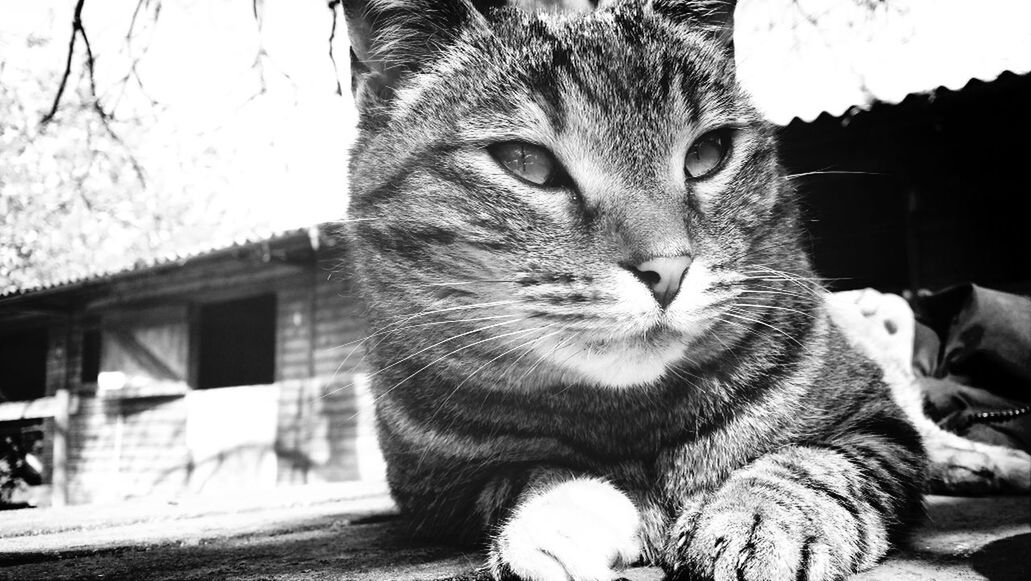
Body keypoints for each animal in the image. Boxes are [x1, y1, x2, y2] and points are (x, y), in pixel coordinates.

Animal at [338, 1, 927, 581]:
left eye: (708, 152)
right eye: (526, 162)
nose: (667, 269)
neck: (629, 419)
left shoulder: (875, 426)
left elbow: (810, 466)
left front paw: (758, 516)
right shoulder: (436, 489)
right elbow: (527, 472)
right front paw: (560, 516)